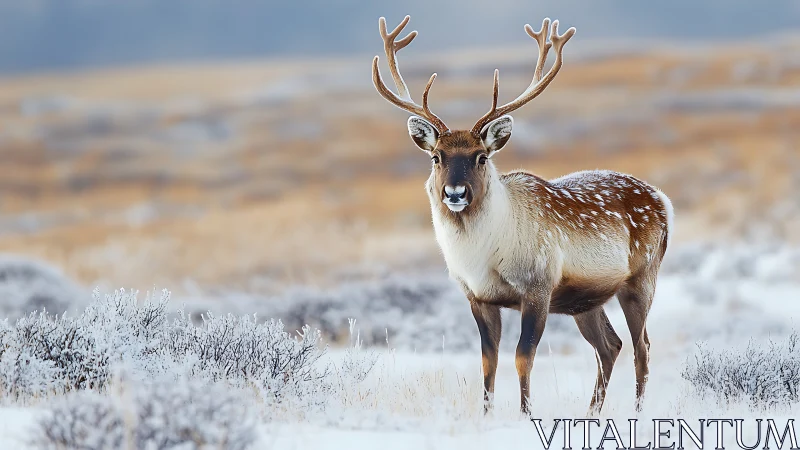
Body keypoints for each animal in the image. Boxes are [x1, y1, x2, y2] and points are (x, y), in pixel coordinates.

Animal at [371, 15, 674, 415]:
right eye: (436, 157)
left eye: (481, 156)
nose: (455, 193)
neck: (482, 258)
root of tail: (663, 200)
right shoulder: (478, 297)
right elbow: (488, 361)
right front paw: (486, 415)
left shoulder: (538, 287)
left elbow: (522, 357)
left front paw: (525, 414)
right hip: (585, 301)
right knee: (610, 346)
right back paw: (591, 413)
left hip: (642, 279)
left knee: (642, 348)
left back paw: (636, 413)